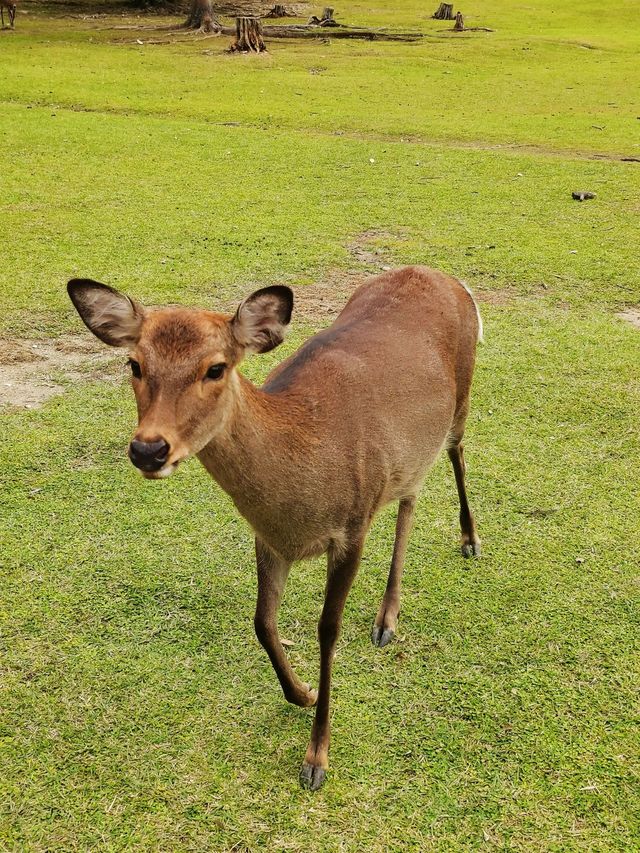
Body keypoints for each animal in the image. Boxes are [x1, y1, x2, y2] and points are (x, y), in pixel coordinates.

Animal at [67, 268, 482, 792]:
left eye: (216, 368)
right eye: (134, 363)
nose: (148, 450)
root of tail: (444, 276)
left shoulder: (352, 526)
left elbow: (327, 629)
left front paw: (317, 756)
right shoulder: (267, 537)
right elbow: (263, 623)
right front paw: (301, 692)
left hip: (462, 397)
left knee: (456, 453)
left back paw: (468, 541)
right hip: (409, 452)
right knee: (411, 495)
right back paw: (387, 617)